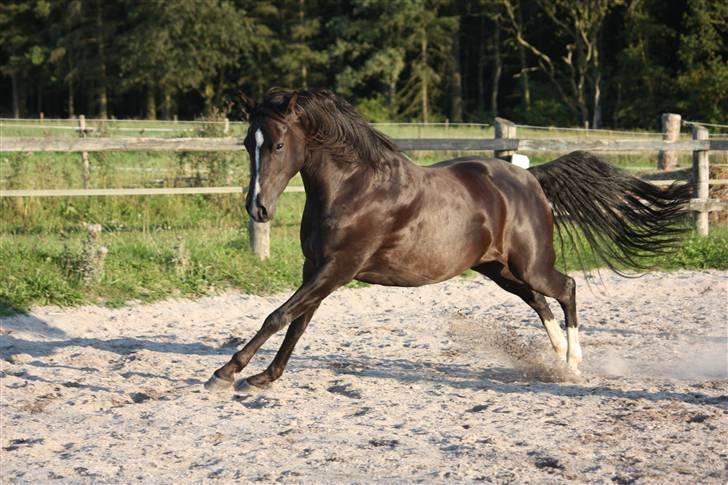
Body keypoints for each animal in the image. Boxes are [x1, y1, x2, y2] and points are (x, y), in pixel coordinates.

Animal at [203, 87, 688, 392]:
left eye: (278, 145)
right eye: (247, 143)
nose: (257, 209)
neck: (354, 187)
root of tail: (530, 177)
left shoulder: (337, 269)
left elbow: (278, 316)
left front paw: (226, 373)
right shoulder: (318, 269)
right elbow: (297, 322)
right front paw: (264, 377)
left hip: (529, 264)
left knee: (565, 287)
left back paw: (572, 363)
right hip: (499, 270)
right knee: (540, 301)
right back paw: (556, 358)